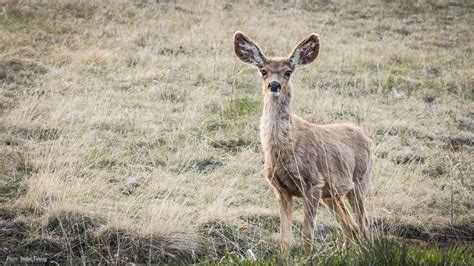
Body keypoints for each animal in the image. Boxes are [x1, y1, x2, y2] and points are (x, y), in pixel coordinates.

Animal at [233, 31, 374, 254]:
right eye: (263, 71)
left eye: (288, 72)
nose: (274, 85)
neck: (285, 149)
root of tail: (366, 137)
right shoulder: (281, 189)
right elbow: (285, 239)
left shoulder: (313, 183)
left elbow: (307, 235)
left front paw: (308, 257)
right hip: (332, 193)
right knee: (350, 227)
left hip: (360, 180)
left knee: (363, 223)